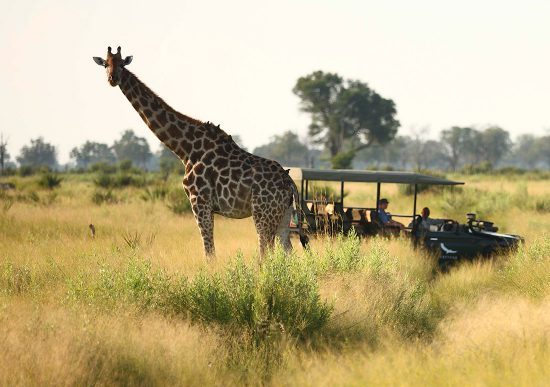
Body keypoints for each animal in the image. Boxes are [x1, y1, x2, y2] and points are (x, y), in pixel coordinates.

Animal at [93, 47, 308, 258]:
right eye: (105, 64)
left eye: (122, 64)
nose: (112, 78)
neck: (185, 149)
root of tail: (289, 182)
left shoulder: (199, 201)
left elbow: (209, 252)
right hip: (283, 215)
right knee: (287, 251)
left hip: (263, 214)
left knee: (266, 253)